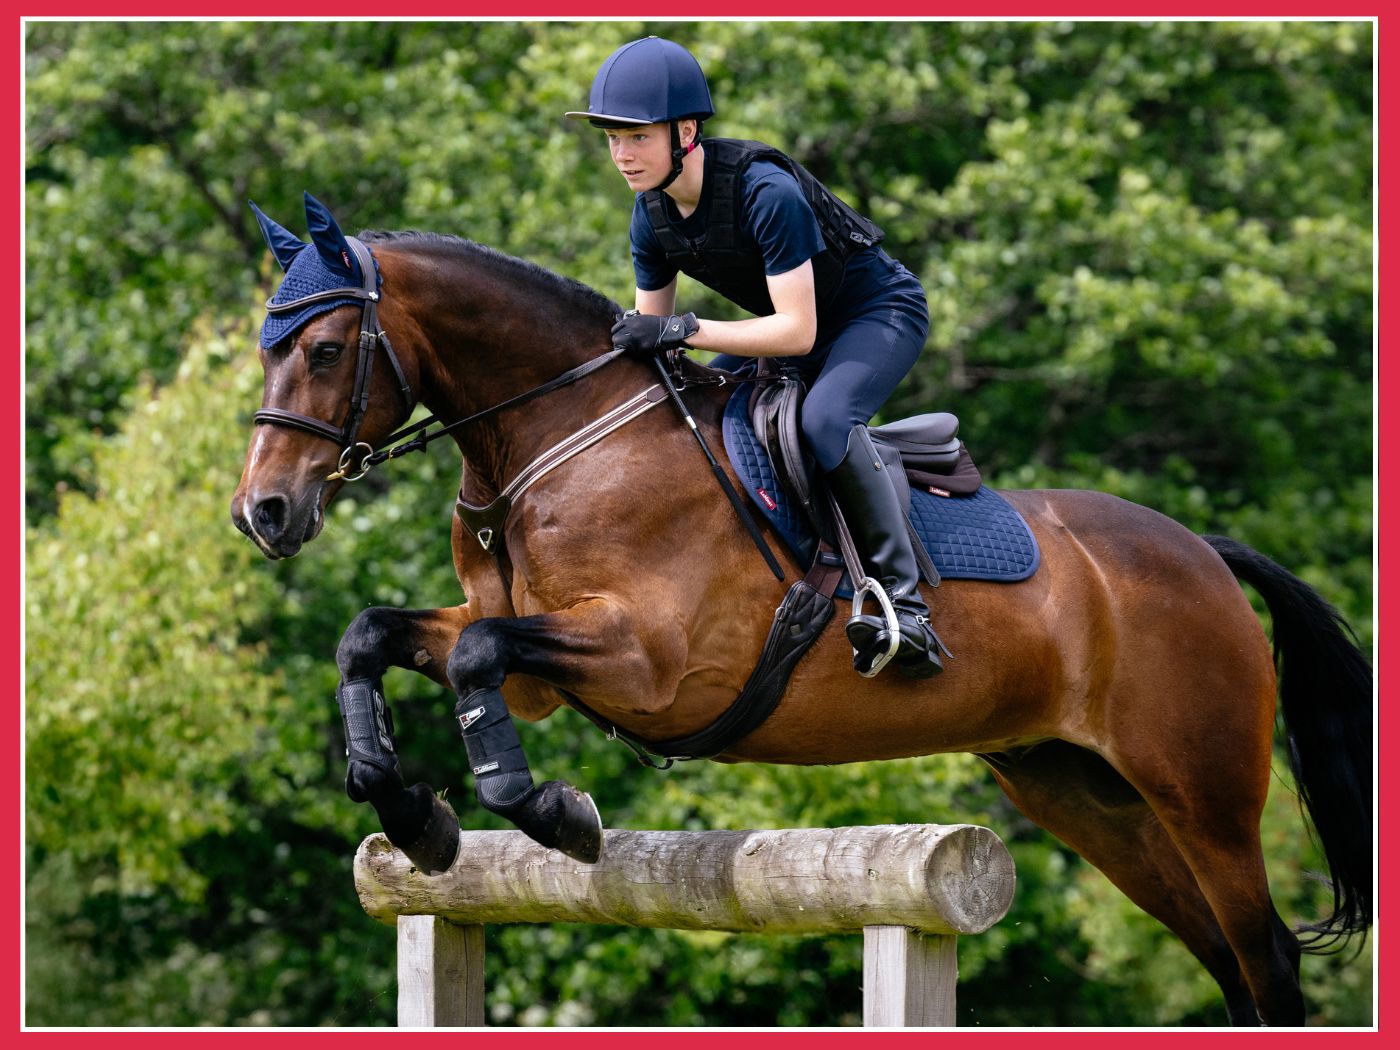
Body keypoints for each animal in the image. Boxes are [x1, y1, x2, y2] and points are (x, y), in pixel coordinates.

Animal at [230, 196, 1371, 1026]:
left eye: (324, 351)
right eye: (266, 348)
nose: (263, 512)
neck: (562, 437)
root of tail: (1203, 552)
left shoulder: (649, 664)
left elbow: (473, 658)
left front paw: (553, 813)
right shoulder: (541, 672)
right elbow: (374, 636)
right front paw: (411, 816)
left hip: (1200, 790)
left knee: (1265, 959)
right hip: (1082, 792)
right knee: (1226, 959)